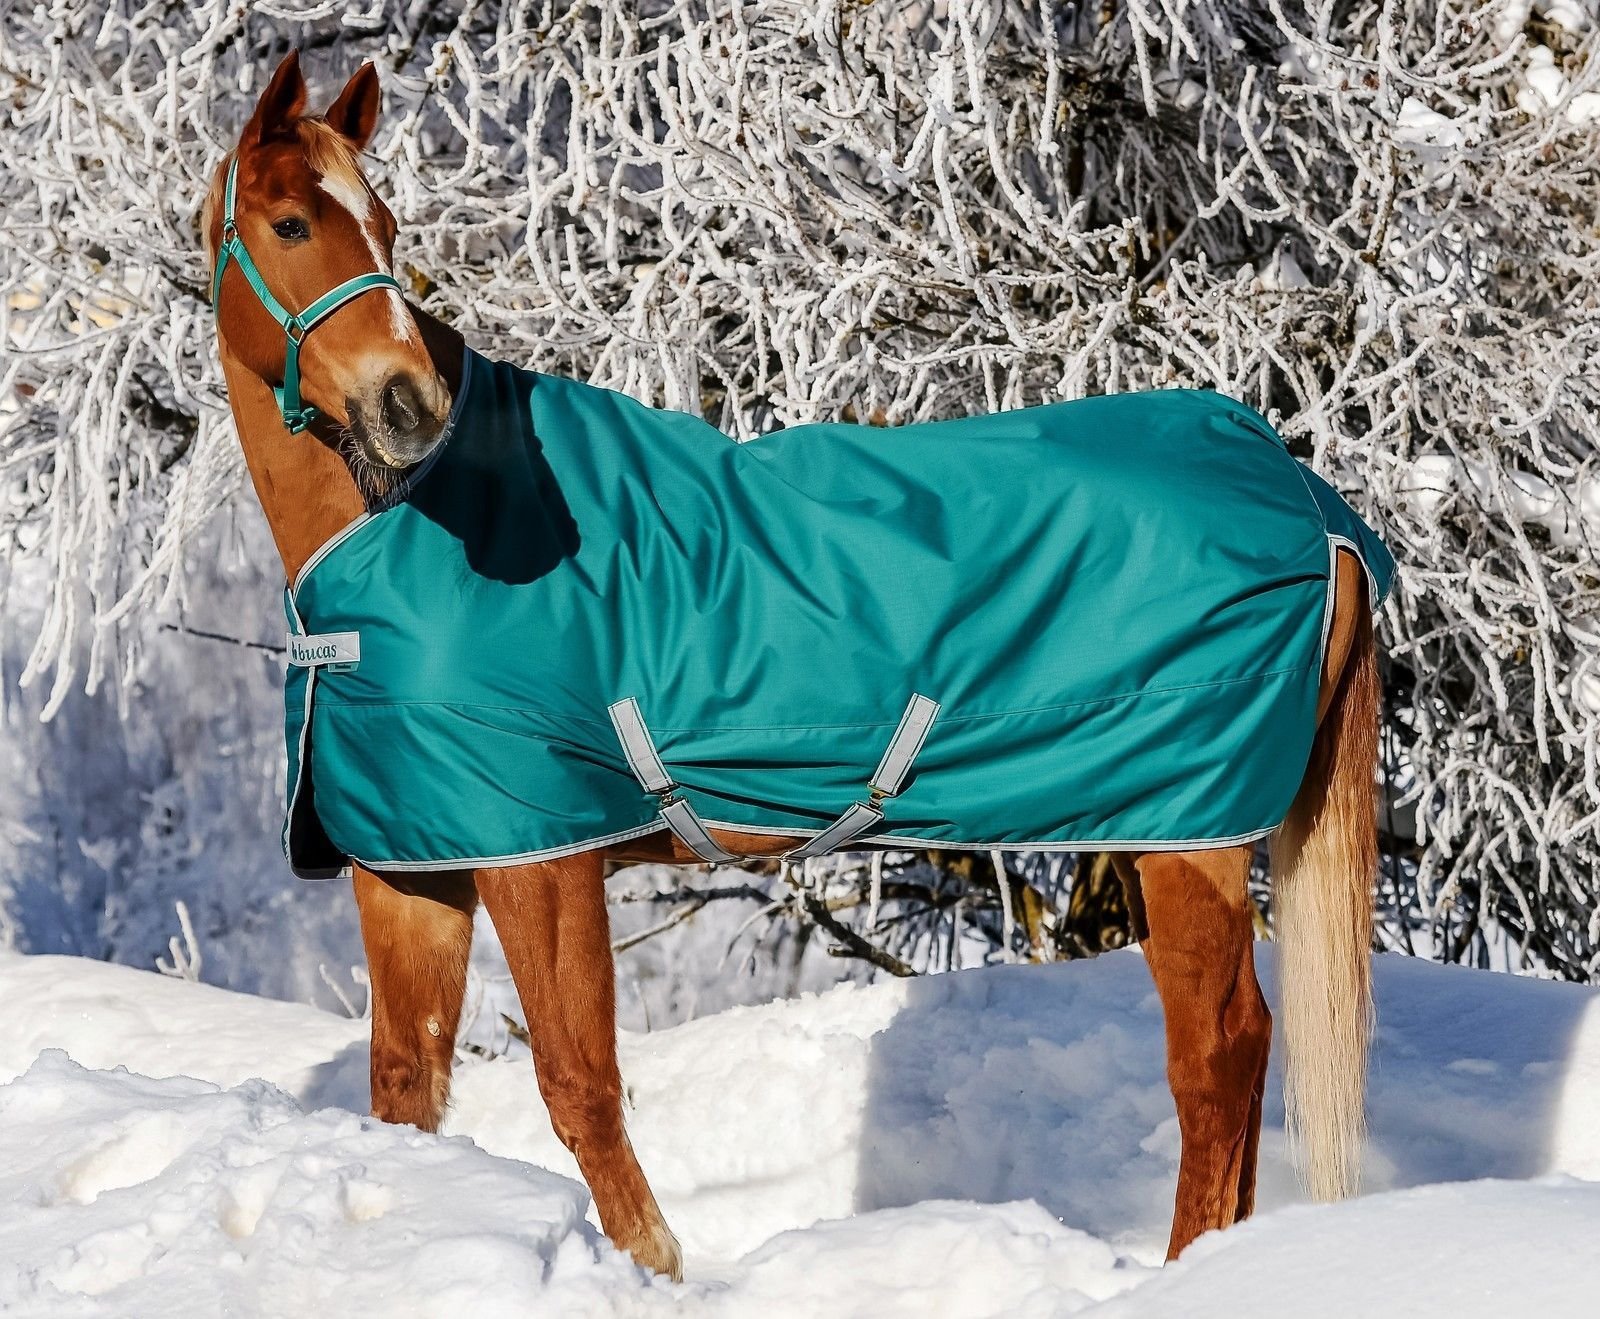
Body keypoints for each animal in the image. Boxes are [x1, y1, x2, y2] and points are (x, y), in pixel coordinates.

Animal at [204, 53, 1384, 1281]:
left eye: (384, 225)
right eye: (292, 222)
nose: (408, 406)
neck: (420, 523)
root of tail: (1312, 503)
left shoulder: (542, 862)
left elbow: (580, 1086)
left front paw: (656, 1269)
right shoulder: (413, 869)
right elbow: (405, 1088)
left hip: (1186, 840)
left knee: (1219, 1055)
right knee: (1245, 1049)